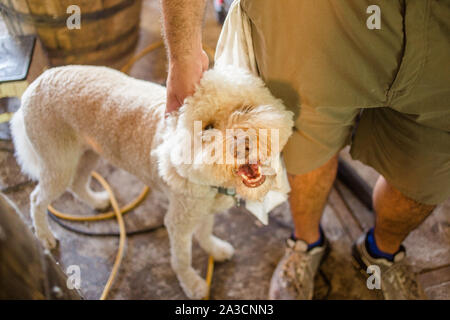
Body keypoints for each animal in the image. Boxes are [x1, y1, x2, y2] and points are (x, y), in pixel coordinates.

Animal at [10, 65, 294, 300]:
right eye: (208, 127)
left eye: (245, 109)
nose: (244, 145)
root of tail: (35, 83)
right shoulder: (179, 221)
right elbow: (182, 258)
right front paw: (192, 284)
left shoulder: (203, 208)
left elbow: (205, 231)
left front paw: (214, 248)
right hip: (59, 164)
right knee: (37, 199)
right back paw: (45, 236)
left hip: (89, 153)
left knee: (78, 184)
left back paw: (98, 202)